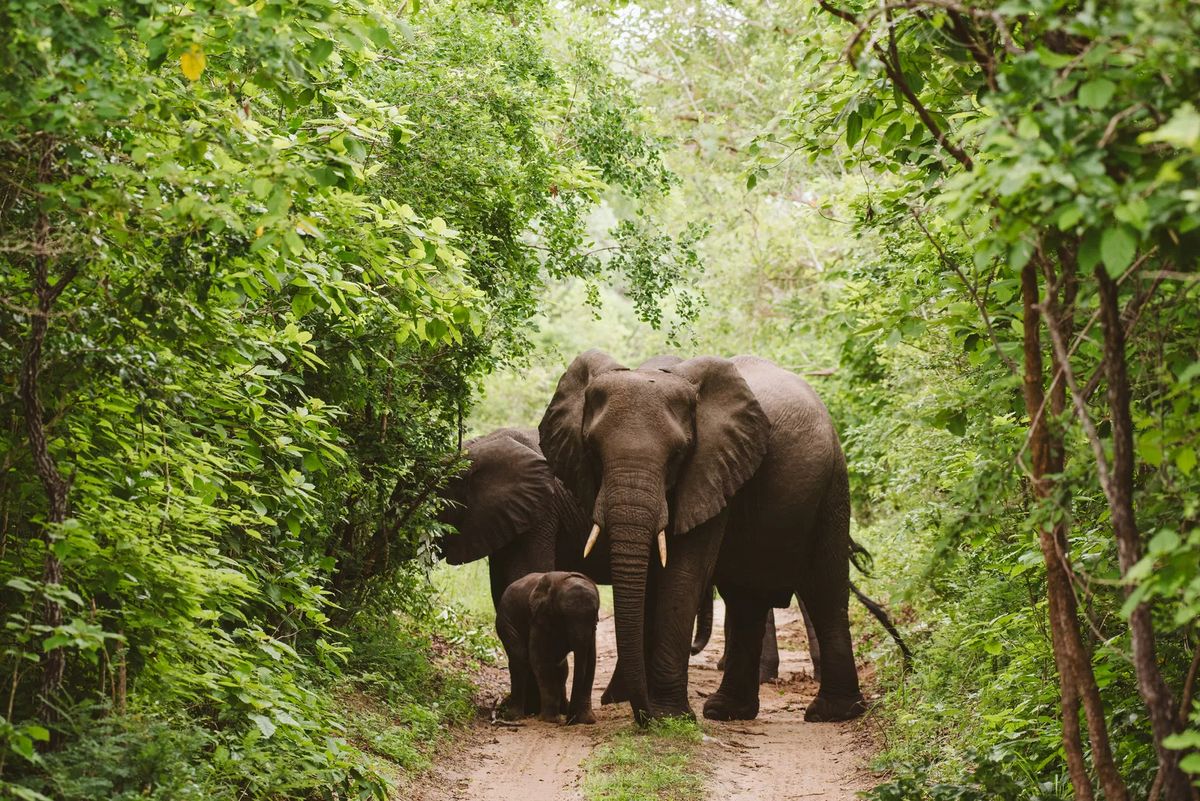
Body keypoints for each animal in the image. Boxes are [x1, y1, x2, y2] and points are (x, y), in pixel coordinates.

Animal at [496, 571, 599, 725]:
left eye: (595, 614)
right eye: (564, 615)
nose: (569, 721)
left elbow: (591, 659)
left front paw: (588, 720)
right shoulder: (539, 617)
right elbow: (539, 658)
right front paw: (551, 720)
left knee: (561, 668)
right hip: (505, 621)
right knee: (519, 660)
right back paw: (514, 716)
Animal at [539, 350, 865, 723]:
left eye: (678, 454)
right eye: (592, 450)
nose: (643, 715)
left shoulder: (711, 466)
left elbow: (683, 574)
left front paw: (669, 716)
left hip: (833, 485)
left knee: (823, 588)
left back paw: (832, 713)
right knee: (746, 598)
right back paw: (727, 710)